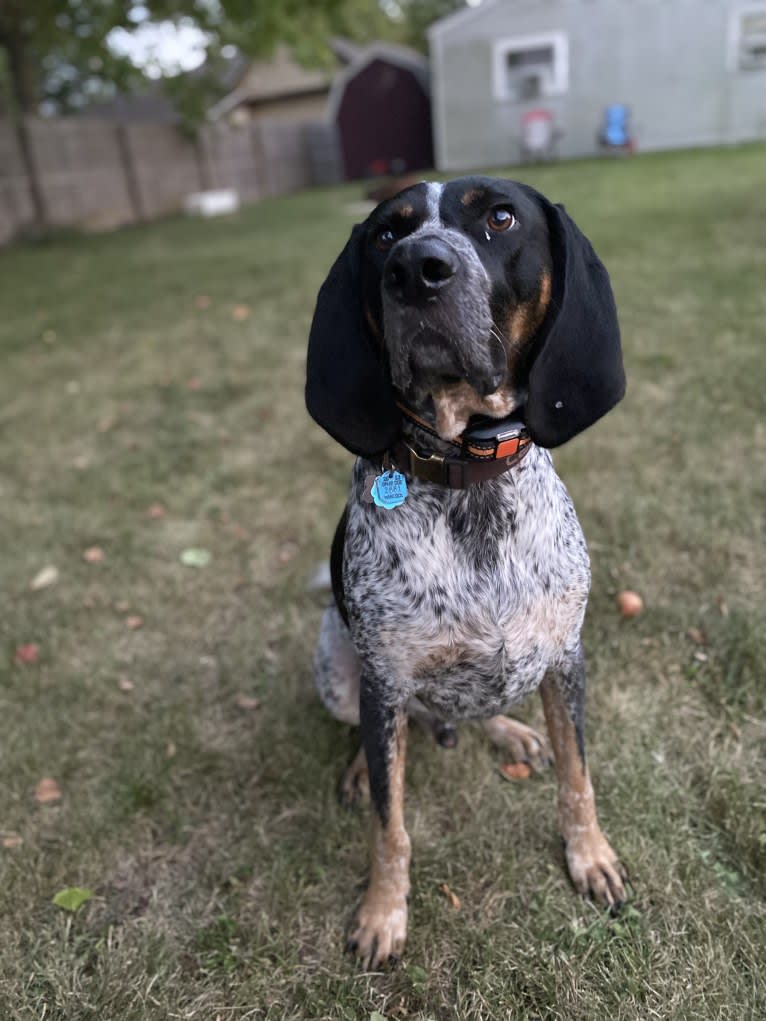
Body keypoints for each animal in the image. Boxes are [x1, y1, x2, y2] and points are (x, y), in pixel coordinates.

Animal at [306, 179, 629, 967]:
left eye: (499, 218)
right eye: (386, 235)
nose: (416, 269)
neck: (466, 472)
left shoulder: (566, 659)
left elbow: (579, 777)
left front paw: (591, 856)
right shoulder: (385, 679)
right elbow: (390, 826)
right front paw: (383, 912)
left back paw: (511, 732)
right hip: (337, 670)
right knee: (387, 733)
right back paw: (362, 766)